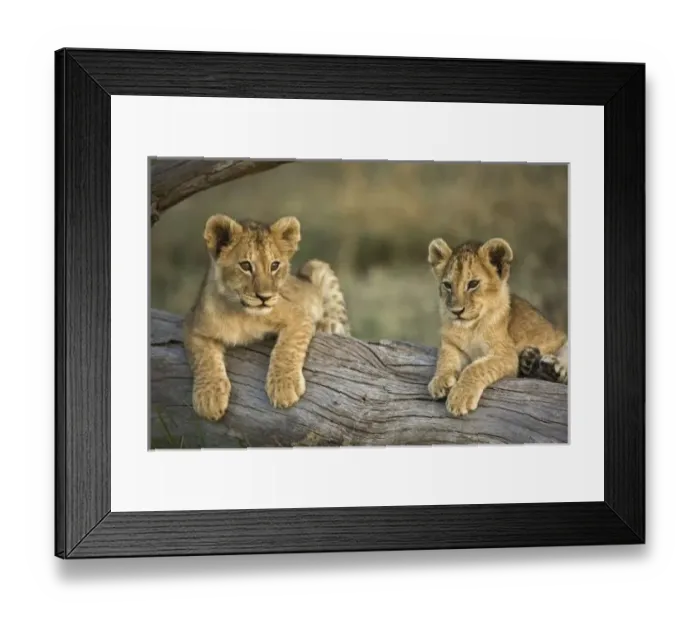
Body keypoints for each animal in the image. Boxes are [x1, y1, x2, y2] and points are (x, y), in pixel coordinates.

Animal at [182, 214, 350, 421]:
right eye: (246, 265)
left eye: (274, 265)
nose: (265, 297)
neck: (239, 313)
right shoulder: (193, 326)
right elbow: (204, 359)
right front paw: (209, 398)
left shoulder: (299, 316)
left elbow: (287, 349)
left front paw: (284, 388)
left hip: (316, 267)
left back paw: (328, 326)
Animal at [426, 237, 568, 417]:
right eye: (447, 285)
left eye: (473, 284)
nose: (457, 311)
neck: (469, 329)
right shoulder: (450, 343)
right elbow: (445, 358)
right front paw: (439, 381)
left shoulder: (506, 354)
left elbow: (476, 368)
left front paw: (459, 398)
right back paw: (530, 361)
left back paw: (552, 368)